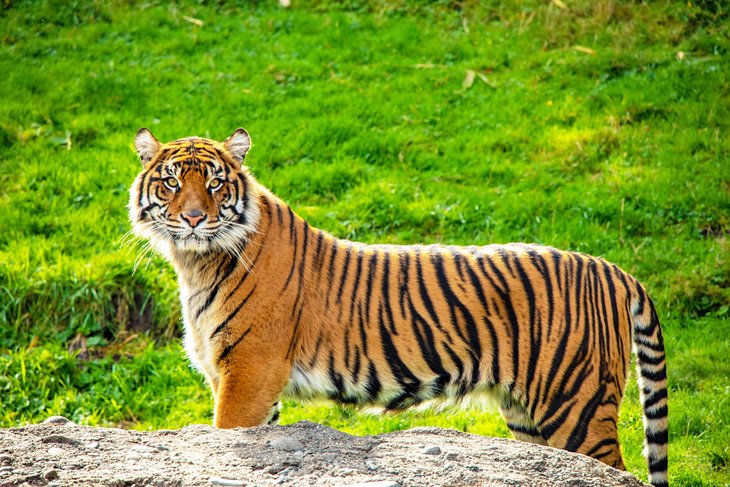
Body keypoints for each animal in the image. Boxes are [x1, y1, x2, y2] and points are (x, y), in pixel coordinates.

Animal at [129, 127, 664, 486]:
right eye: (171, 183)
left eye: (215, 184)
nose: (194, 218)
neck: (195, 262)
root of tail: (612, 268)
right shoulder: (245, 381)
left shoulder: (248, 373)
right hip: (528, 415)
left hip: (577, 405)